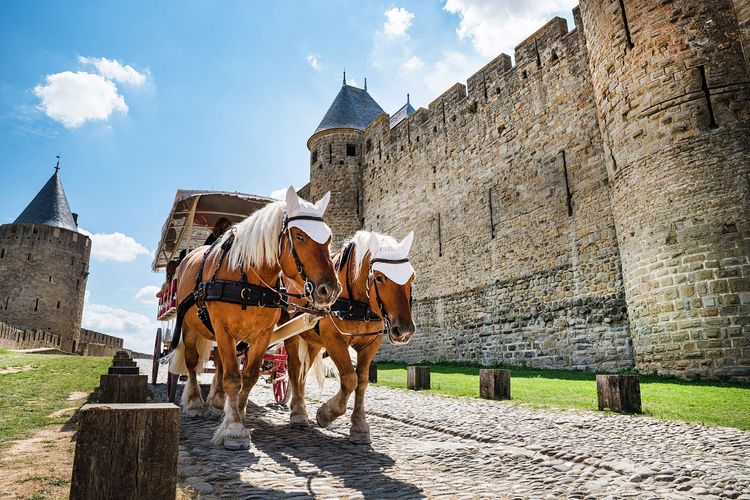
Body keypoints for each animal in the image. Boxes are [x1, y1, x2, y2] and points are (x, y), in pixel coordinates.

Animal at [168, 186, 341, 449]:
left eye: (329, 238)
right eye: (299, 236)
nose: (329, 290)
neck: (247, 279)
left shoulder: (262, 334)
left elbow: (247, 377)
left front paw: (237, 414)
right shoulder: (223, 328)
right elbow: (232, 378)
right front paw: (234, 429)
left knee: (219, 363)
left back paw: (216, 404)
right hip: (189, 326)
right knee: (192, 362)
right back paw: (196, 403)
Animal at [284, 230, 416, 444]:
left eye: (411, 276)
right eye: (379, 278)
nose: (404, 330)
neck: (357, 304)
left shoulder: (371, 344)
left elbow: (362, 381)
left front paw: (359, 425)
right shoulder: (334, 341)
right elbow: (349, 379)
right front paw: (327, 413)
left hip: (312, 341)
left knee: (303, 372)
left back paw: (299, 406)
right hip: (291, 336)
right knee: (295, 369)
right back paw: (298, 413)